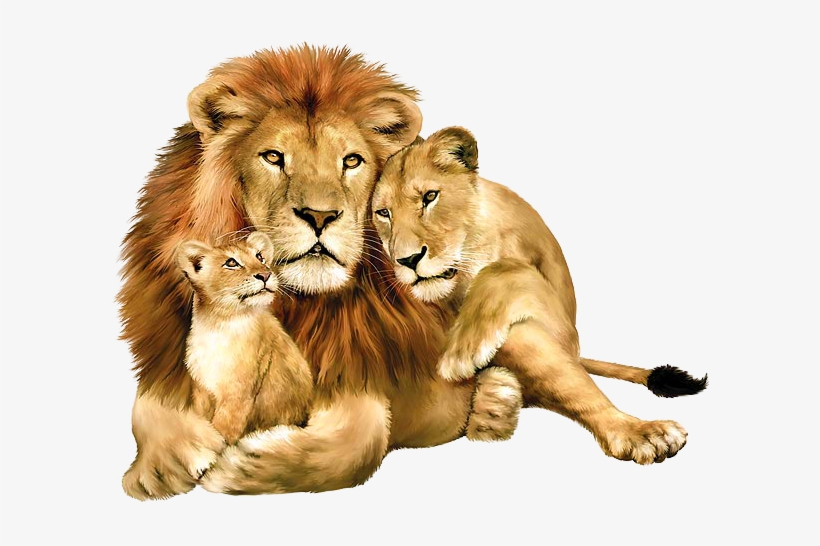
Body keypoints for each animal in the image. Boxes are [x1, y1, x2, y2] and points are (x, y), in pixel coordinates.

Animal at [371, 126, 707, 461]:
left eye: (430, 197)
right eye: (383, 213)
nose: (407, 260)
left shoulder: (559, 320)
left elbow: (505, 268)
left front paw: (461, 353)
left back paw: (642, 433)